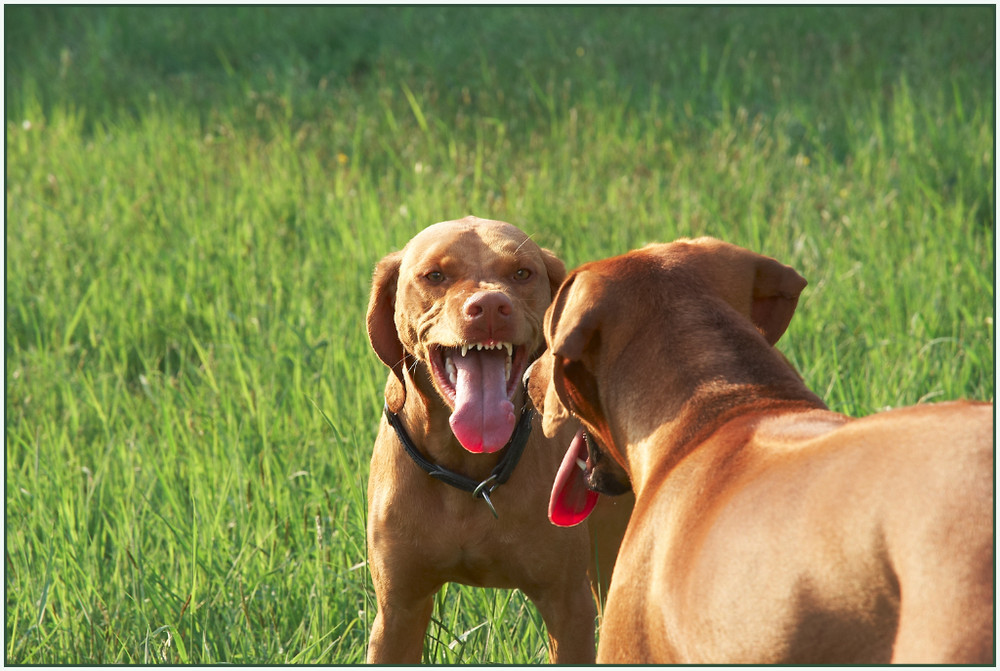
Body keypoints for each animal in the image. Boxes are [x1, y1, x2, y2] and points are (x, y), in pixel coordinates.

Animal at [364, 218, 628, 664]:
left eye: (522, 273)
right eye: (435, 276)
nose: (489, 307)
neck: (470, 471)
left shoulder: (568, 606)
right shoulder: (397, 612)